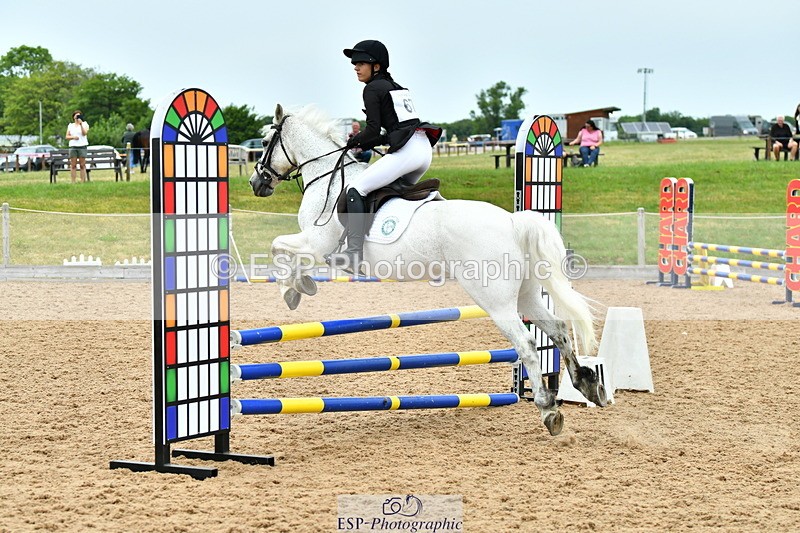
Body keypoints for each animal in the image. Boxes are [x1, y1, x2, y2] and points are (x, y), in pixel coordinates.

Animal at [248, 104, 607, 435]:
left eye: (264, 141)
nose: (256, 183)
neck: (327, 175)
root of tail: (512, 221)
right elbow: (281, 249)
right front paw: (299, 286)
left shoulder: (317, 243)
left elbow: (278, 247)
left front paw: (294, 289)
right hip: (526, 294)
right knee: (558, 330)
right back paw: (587, 385)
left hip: (496, 301)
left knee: (528, 345)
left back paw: (548, 409)